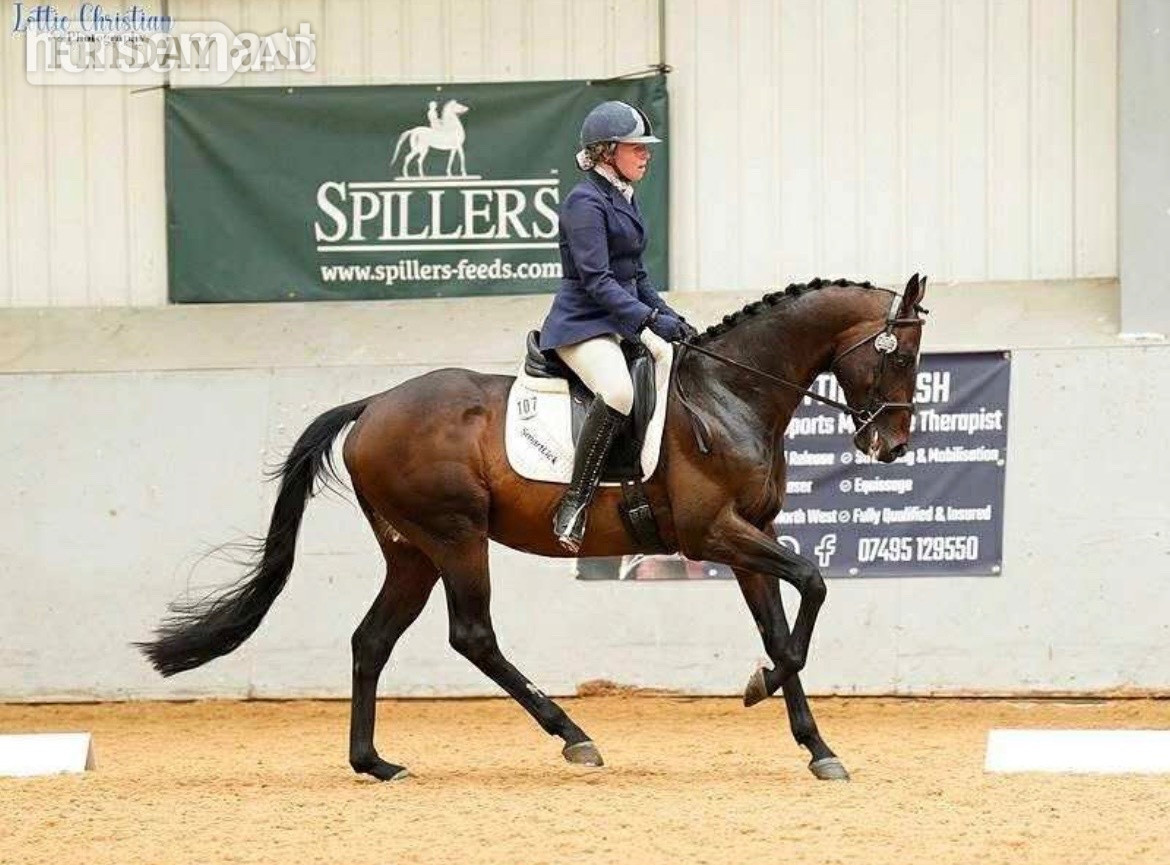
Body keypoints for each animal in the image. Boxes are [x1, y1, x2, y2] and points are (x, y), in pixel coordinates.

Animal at [138, 275, 929, 782]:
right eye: (899, 353)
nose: (891, 446)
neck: (729, 393)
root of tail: (372, 404)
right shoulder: (713, 534)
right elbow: (814, 584)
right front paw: (760, 687)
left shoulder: (746, 537)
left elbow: (781, 628)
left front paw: (814, 743)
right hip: (454, 537)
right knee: (472, 636)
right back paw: (574, 738)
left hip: (411, 551)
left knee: (371, 640)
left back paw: (374, 763)